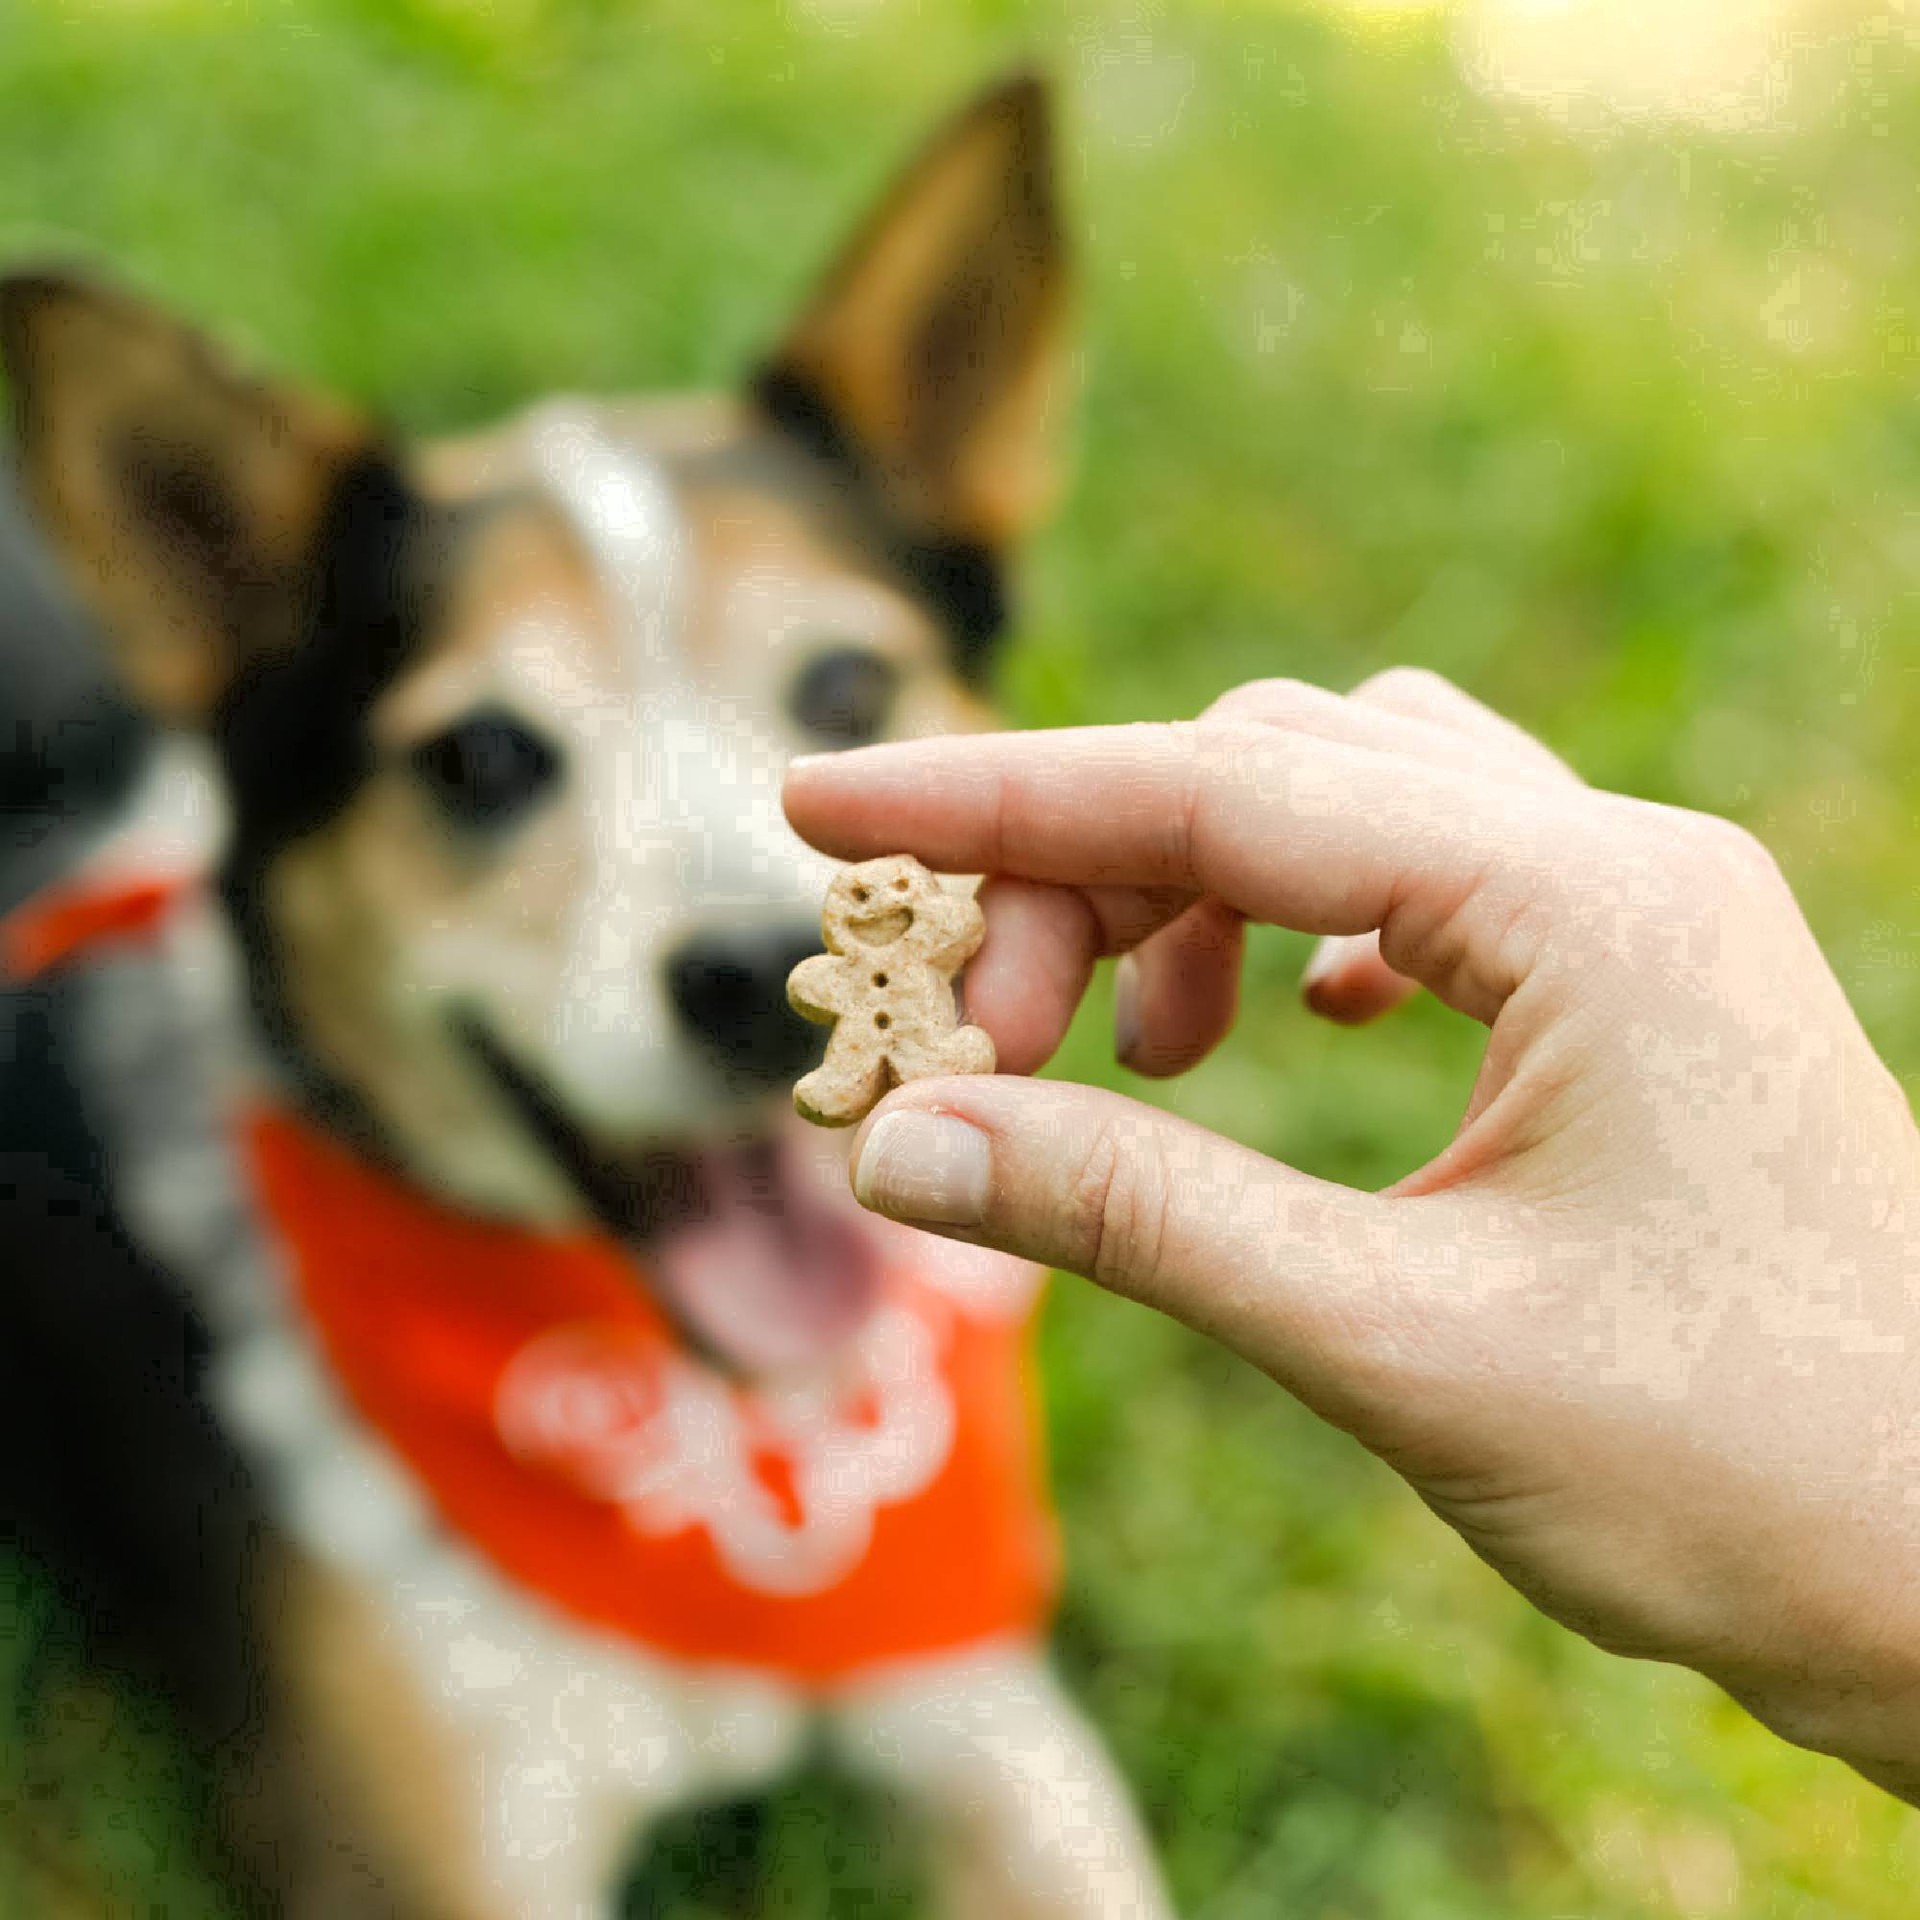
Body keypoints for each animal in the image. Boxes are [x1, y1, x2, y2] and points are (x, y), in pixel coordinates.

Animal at [0, 78, 1167, 1920]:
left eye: (850, 682)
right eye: (479, 760)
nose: (749, 983)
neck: (720, 1450)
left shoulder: (993, 1728)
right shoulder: (437, 1860)